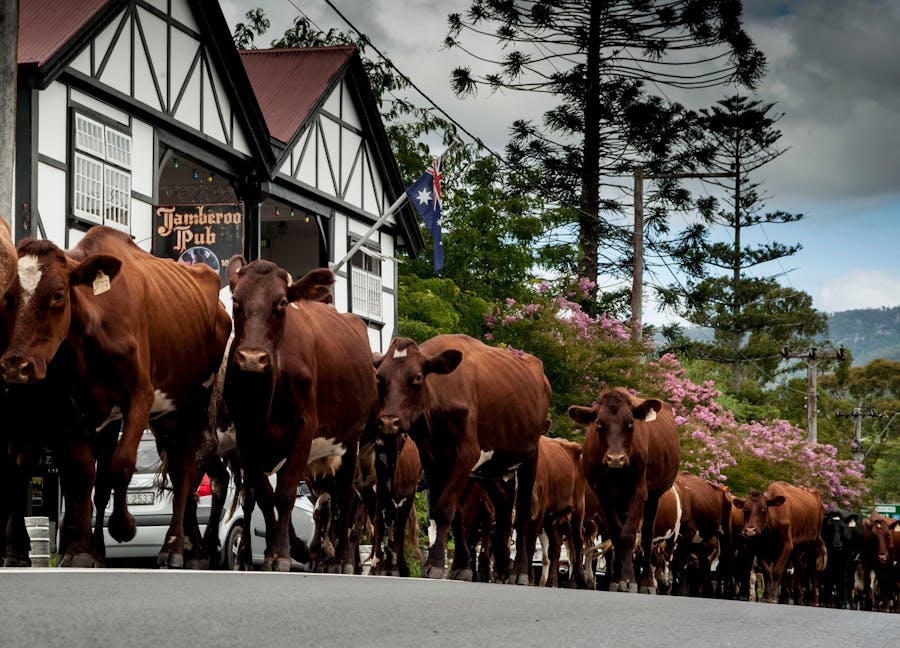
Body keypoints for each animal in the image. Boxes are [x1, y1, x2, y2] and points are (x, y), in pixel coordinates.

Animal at [0, 228, 230, 568]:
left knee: (187, 470)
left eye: (58, 295)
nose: (17, 364)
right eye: (8, 297)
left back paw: (175, 547)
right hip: (163, 418)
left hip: (194, 406)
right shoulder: (69, 407)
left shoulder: (140, 396)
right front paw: (80, 551)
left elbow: (120, 465)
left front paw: (122, 526)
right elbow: (85, 473)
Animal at [227, 258, 378, 572]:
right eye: (236, 301)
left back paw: (342, 560)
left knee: (347, 496)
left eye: (282, 302)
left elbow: (284, 491)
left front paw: (282, 554)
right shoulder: (246, 435)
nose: (252, 358)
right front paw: (278, 550)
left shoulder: (304, 428)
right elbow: (263, 494)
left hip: (351, 441)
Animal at [370, 334, 548, 584]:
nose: (388, 421)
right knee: (504, 507)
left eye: (417, 377)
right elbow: (453, 514)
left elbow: (446, 508)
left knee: (521, 514)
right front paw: (461, 565)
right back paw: (503, 567)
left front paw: (435, 564)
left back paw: (519, 571)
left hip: (530, 457)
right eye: (380, 377)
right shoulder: (433, 460)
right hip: (491, 468)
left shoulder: (466, 453)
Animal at [568, 388, 684, 596]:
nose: (615, 458)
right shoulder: (604, 495)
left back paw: (647, 582)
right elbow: (616, 535)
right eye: (599, 424)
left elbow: (629, 535)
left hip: (653, 498)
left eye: (630, 424)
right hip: (620, 502)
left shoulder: (639, 492)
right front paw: (617, 579)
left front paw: (629, 580)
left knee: (646, 536)